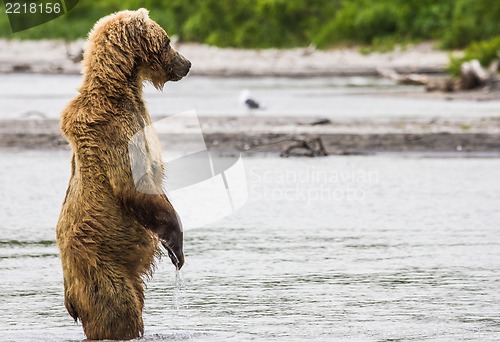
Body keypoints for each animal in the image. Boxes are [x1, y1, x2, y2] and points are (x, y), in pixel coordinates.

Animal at [55, 8, 190, 340]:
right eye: (168, 41)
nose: (187, 63)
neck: (121, 89)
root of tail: (70, 296)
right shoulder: (118, 134)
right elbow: (134, 185)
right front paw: (176, 244)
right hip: (101, 268)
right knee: (118, 308)